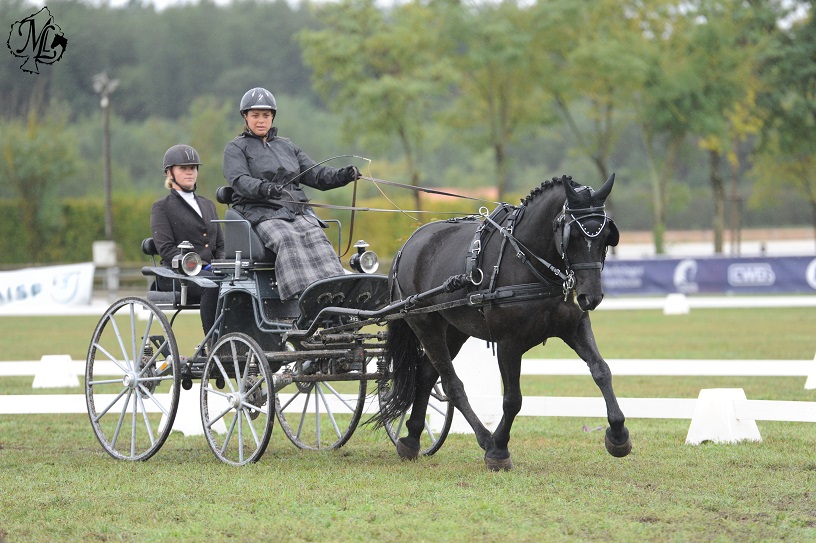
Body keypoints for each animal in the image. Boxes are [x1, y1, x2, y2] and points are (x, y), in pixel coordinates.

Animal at [374, 174, 631, 471]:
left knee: (427, 374)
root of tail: (408, 245)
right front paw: (499, 449)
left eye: (605, 237)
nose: (591, 296)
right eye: (573, 236)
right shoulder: (509, 343)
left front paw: (618, 434)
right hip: (425, 324)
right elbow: (512, 399)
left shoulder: (574, 328)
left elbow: (601, 370)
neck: (533, 264)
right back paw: (485, 438)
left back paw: (412, 438)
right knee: (451, 384)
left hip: (455, 330)